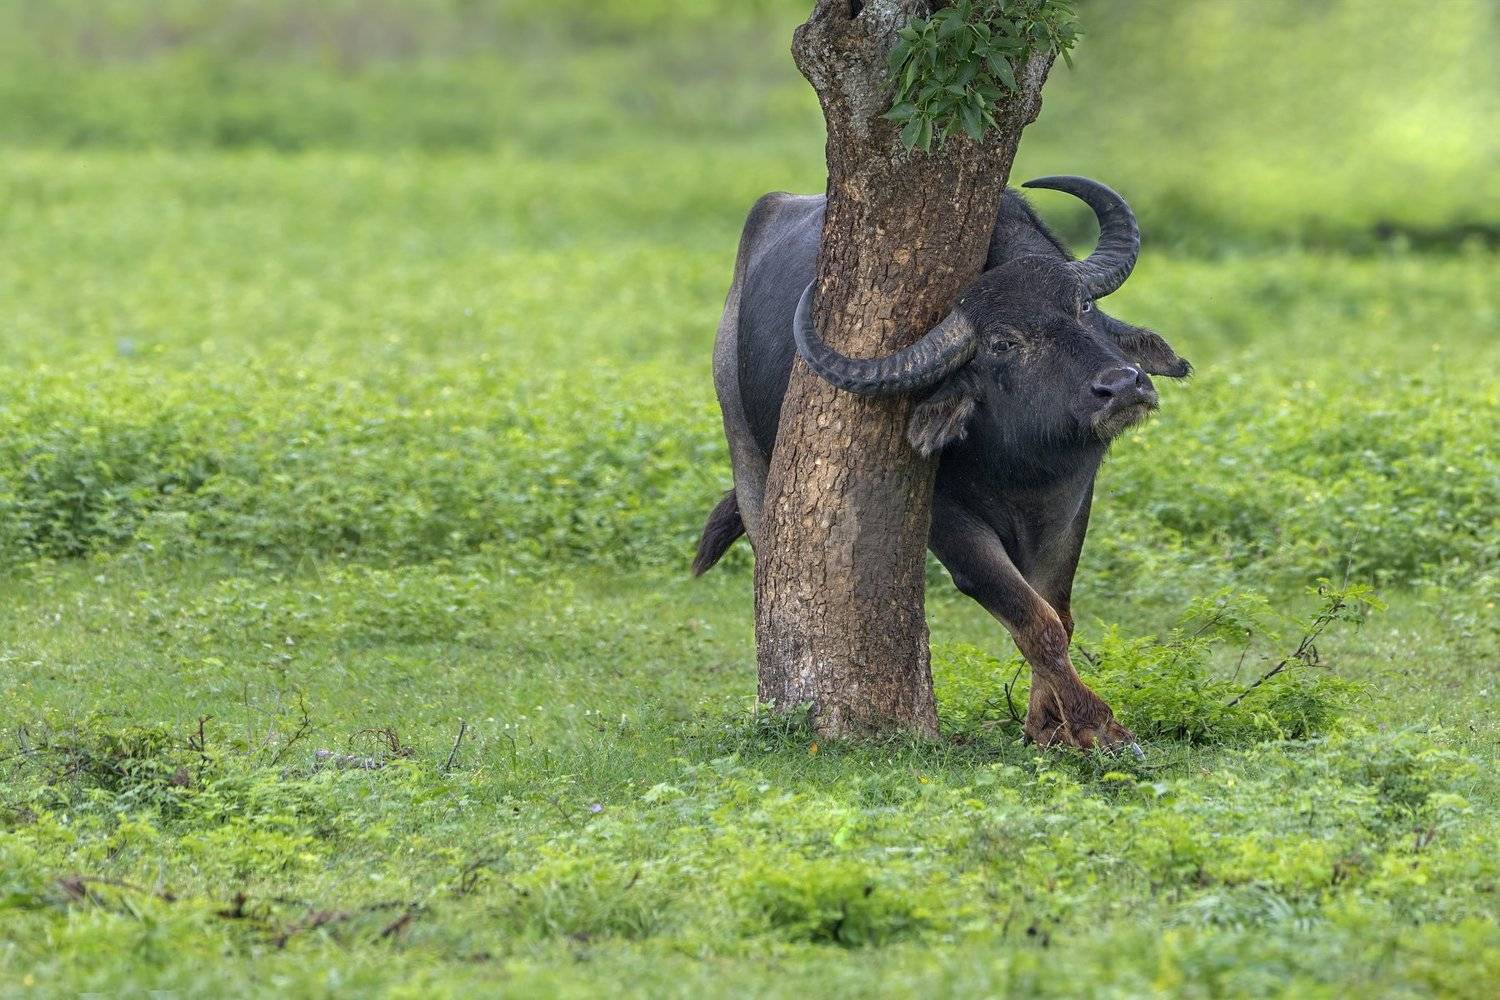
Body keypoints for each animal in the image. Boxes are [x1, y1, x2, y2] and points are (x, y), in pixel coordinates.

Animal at [692, 176, 1190, 755]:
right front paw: (1098, 725)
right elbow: (1034, 620)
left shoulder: (1073, 506)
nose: (1123, 385)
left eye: (1084, 305)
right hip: (744, 448)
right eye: (1003, 342)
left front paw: (1048, 724)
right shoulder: (950, 524)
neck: (1024, 465)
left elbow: (1058, 614)